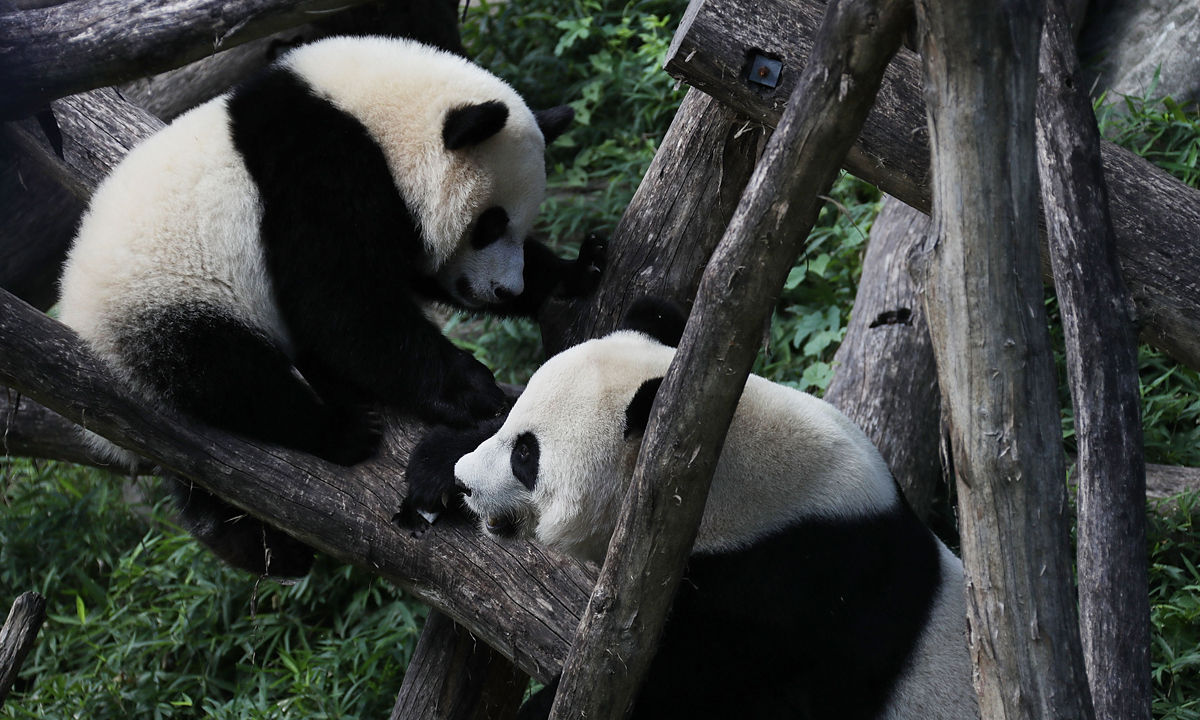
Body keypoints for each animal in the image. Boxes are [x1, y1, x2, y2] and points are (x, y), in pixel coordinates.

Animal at [57, 36, 605, 578]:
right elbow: (341, 303)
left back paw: (255, 545)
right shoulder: (314, 172)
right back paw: (339, 432)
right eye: (489, 223)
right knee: (229, 375)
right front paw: (473, 388)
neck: (374, 116)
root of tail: (82, 325)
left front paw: (572, 272)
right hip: (168, 305)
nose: (506, 289)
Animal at [402, 299, 978, 720]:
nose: (468, 484)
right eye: (512, 426)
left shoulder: (797, 590)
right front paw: (435, 466)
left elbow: (691, 683)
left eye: (526, 455)